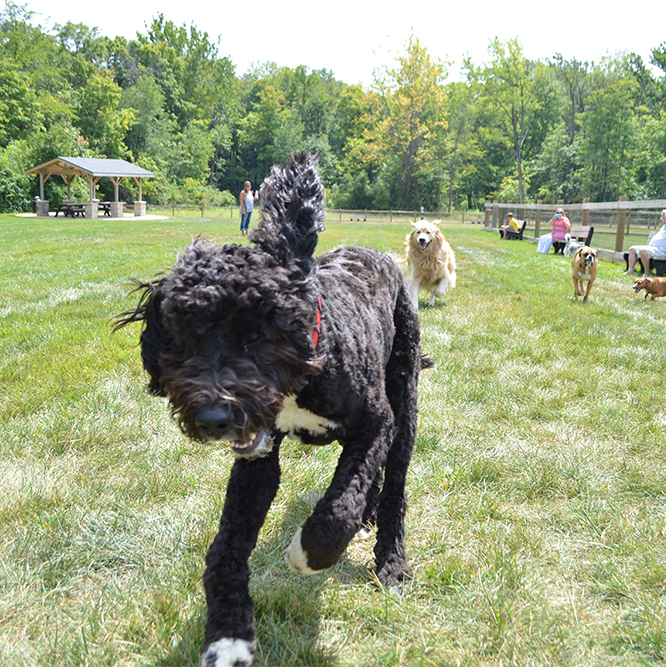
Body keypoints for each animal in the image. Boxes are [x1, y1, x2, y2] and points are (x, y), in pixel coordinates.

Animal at [116, 153, 430, 667]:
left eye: (256, 333)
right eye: (185, 338)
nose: (213, 419)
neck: (311, 363)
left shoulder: (375, 422)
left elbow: (338, 508)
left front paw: (309, 553)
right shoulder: (258, 460)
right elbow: (226, 549)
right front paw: (227, 636)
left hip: (405, 406)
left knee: (394, 486)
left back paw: (391, 561)